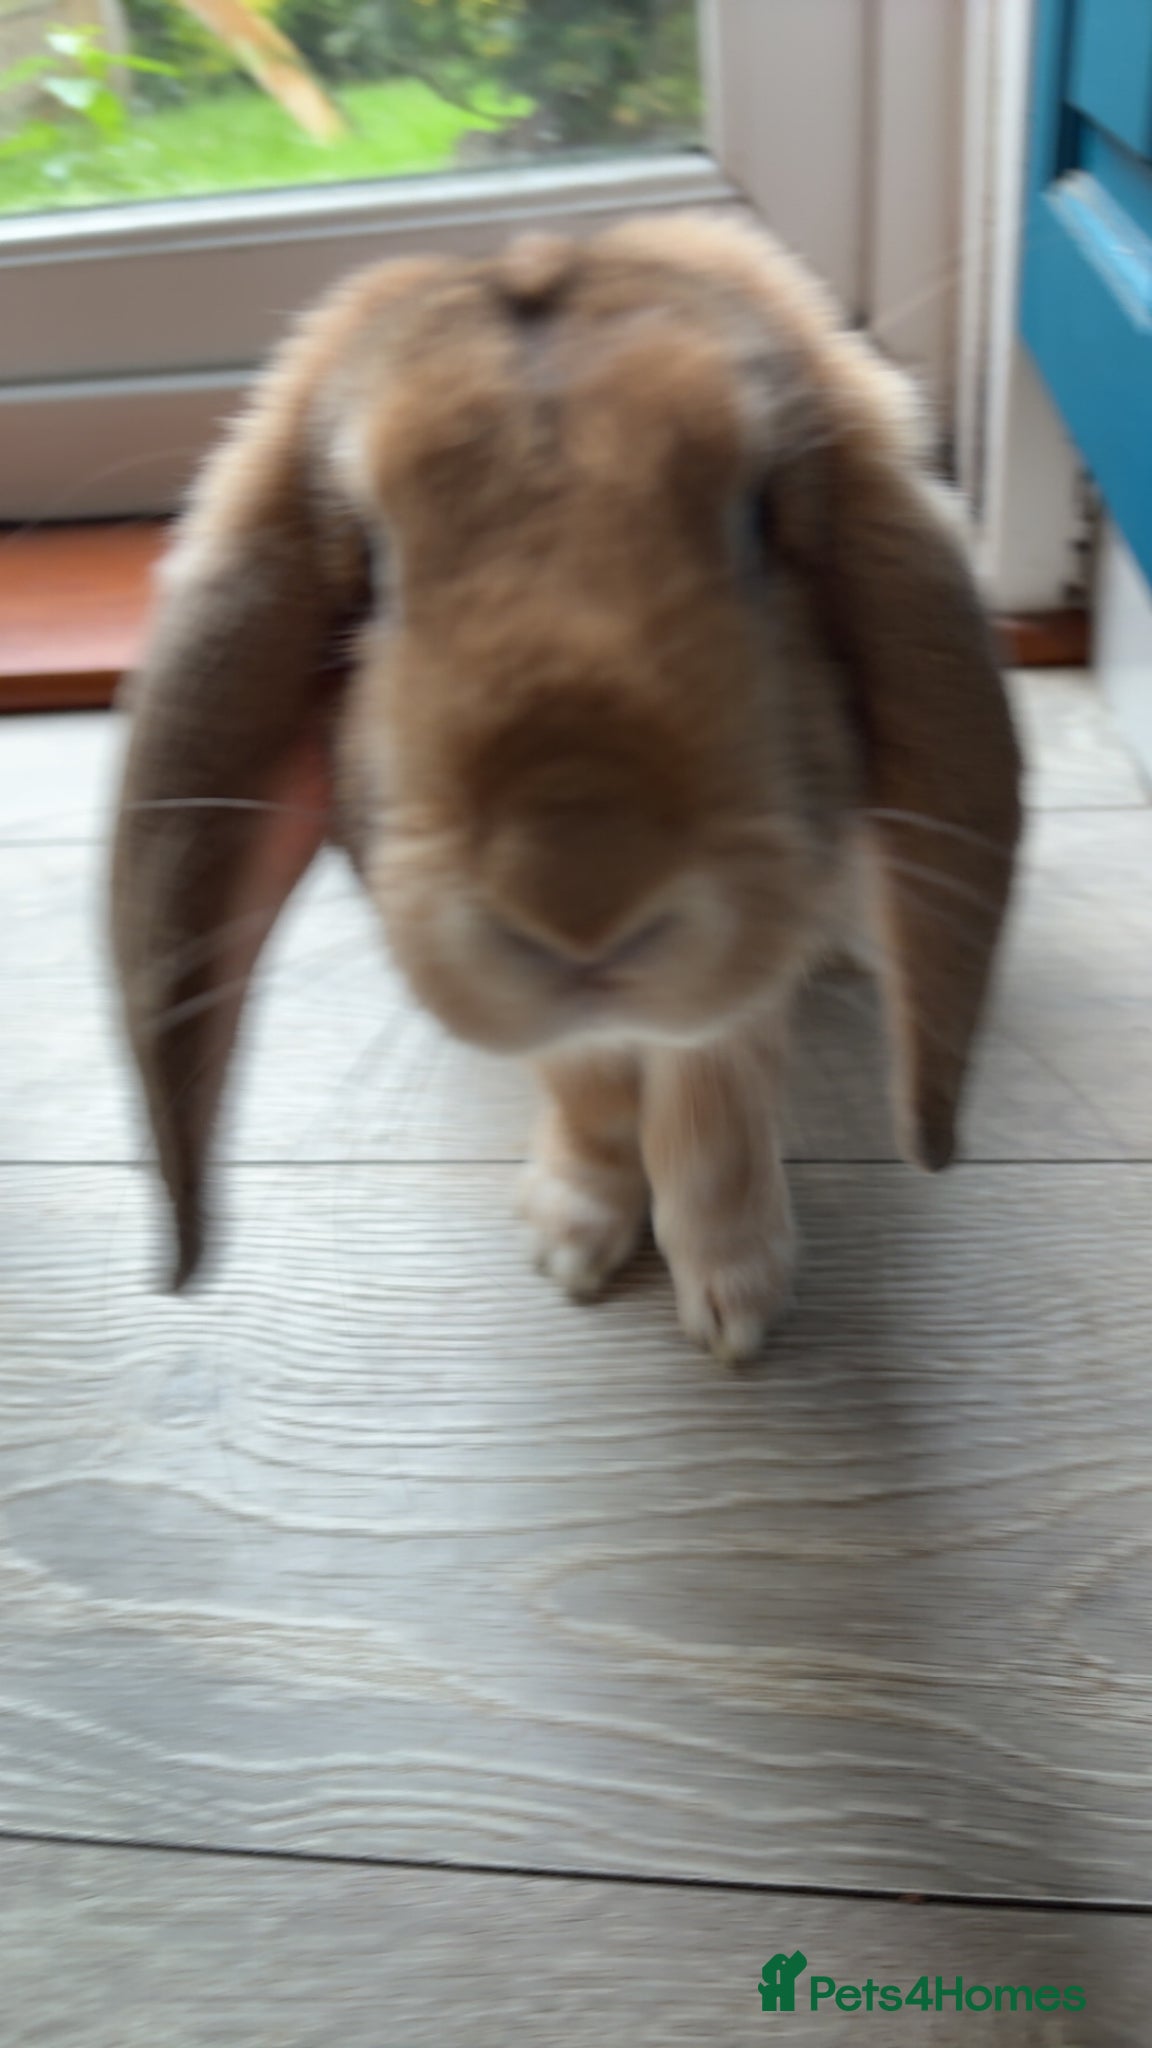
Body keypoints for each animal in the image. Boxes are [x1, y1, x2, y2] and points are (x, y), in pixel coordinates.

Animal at [110, 212, 1022, 1362]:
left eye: (760, 516)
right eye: (369, 563)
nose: (580, 898)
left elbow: (710, 1097)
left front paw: (736, 1300)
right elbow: (585, 1087)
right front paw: (570, 1242)